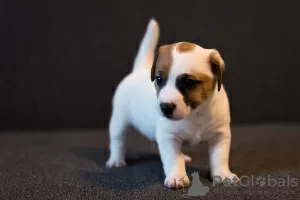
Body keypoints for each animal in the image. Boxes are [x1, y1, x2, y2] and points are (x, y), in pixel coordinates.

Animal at [105, 18, 237, 188]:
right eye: (159, 79)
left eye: (189, 82)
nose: (165, 107)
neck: (195, 113)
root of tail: (138, 70)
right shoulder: (168, 137)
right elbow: (173, 158)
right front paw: (177, 176)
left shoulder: (220, 135)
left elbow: (220, 157)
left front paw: (223, 174)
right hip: (119, 121)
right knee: (118, 140)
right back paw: (116, 159)